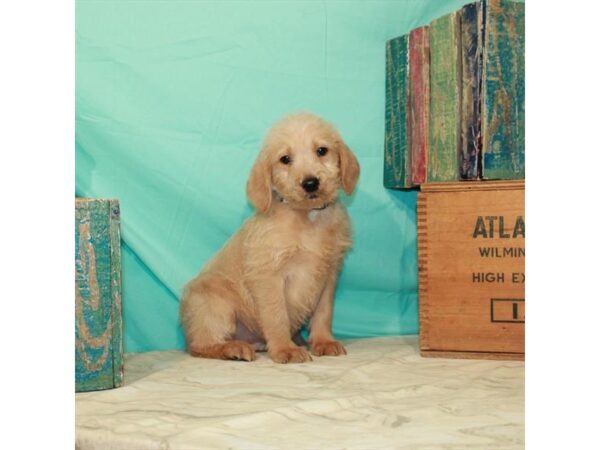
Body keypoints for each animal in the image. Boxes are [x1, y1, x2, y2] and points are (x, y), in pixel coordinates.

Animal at [180, 112, 358, 362]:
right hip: (214, 305)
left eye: (322, 151)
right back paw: (233, 349)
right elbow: (276, 316)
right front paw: (285, 349)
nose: (310, 183)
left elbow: (324, 312)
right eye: (285, 159)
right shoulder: (269, 276)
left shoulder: (329, 274)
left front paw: (323, 341)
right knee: (199, 346)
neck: (307, 217)